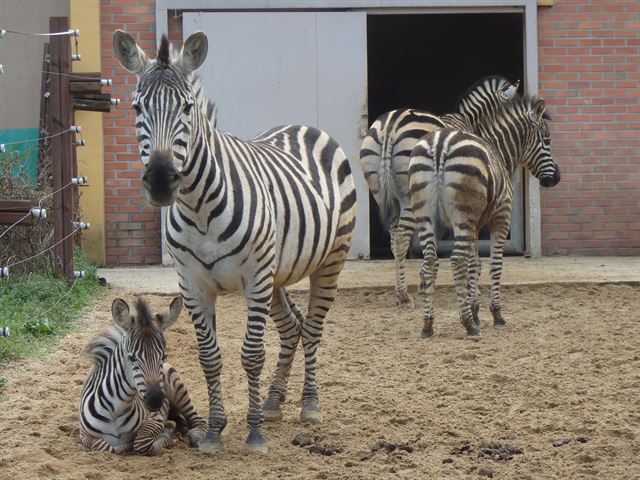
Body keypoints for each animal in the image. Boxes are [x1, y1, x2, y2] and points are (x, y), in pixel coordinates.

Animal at [78, 296, 206, 454]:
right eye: (132, 358)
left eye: (164, 357)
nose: (155, 400)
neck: (115, 410)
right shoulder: (84, 435)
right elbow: (105, 447)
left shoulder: (155, 419)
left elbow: (141, 443)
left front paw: (167, 433)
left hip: (178, 389)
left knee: (197, 419)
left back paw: (195, 434)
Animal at [112, 32, 358, 454]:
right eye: (136, 107)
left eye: (187, 107)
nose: (160, 180)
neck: (199, 207)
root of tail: (303, 126)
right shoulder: (193, 284)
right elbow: (209, 358)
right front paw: (214, 431)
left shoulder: (254, 278)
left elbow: (252, 355)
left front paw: (254, 434)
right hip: (276, 276)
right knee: (292, 327)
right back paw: (274, 403)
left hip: (329, 262)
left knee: (312, 328)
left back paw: (309, 406)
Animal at [360, 76, 520, 308]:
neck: (467, 119)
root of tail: (391, 124)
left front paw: (425, 281)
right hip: (409, 195)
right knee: (401, 238)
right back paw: (404, 296)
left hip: (380, 192)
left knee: (393, 238)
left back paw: (399, 292)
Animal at [410, 94, 560, 338]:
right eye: (547, 141)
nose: (556, 178)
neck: (499, 151)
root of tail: (440, 143)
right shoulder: (501, 218)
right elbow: (494, 265)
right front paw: (494, 314)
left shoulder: (475, 225)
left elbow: (475, 265)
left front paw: (475, 310)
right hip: (462, 216)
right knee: (455, 260)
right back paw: (468, 326)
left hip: (427, 216)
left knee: (430, 262)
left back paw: (428, 325)